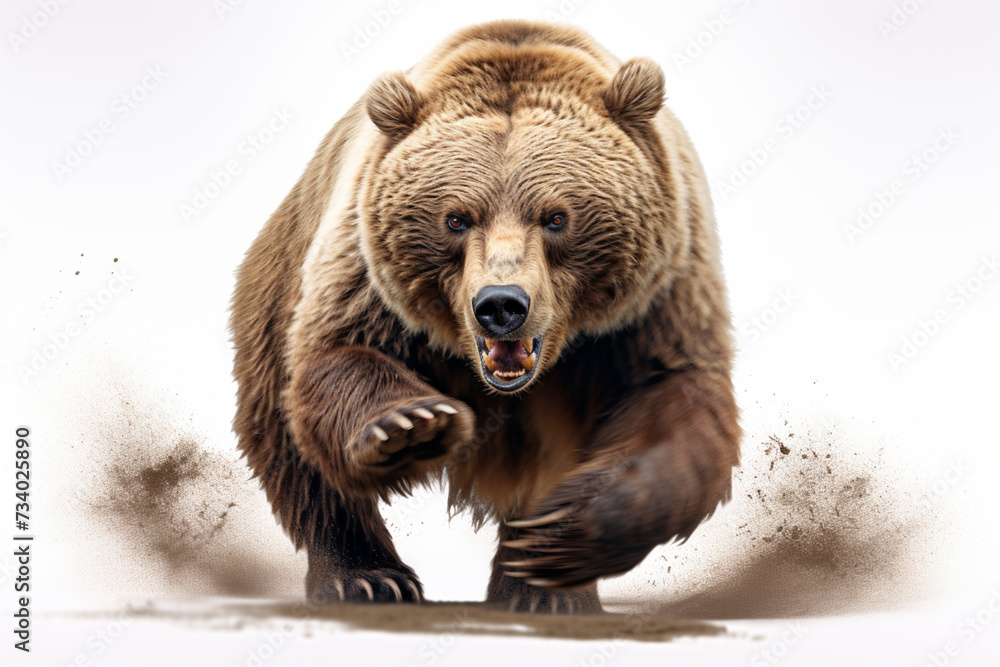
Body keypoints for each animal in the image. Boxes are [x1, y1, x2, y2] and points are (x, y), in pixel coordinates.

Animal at [231, 19, 740, 614]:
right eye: (455, 218)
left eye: (556, 217)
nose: (501, 304)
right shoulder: (364, 277)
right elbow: (335, 359)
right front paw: (410, 426)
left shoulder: (655, 299)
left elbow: (673, 400)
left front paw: (560, 533)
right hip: (274, 293)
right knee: (298, 456)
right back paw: (369, 578)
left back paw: (539, 592)